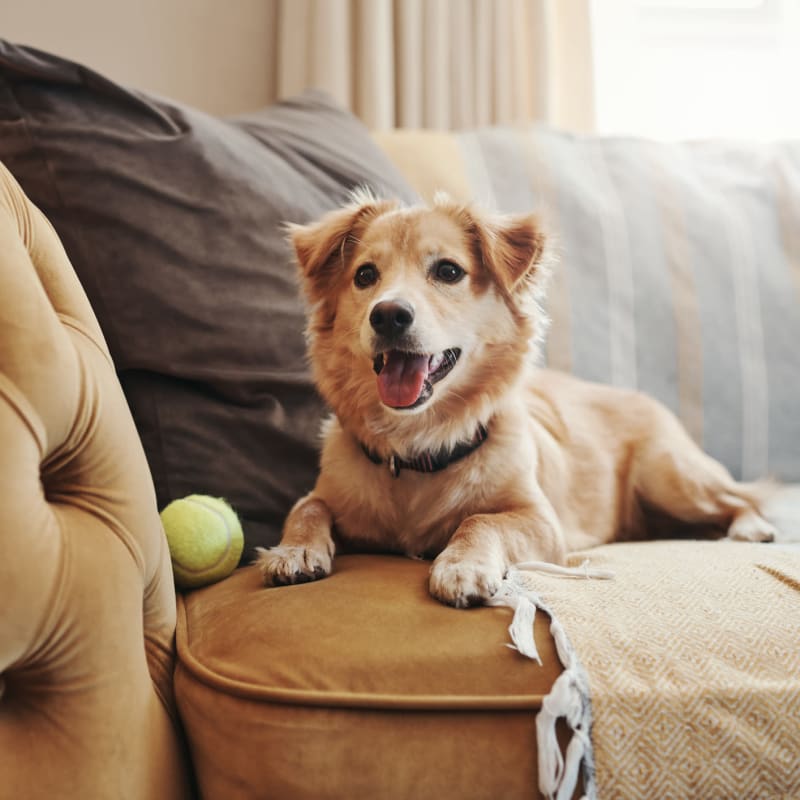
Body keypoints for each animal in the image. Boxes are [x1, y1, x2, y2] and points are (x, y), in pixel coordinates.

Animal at [256, 192, 776, 608]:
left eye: (448, 271)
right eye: (365, 275)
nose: (387, 315)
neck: (420, 446)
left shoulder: (541, 522)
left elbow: (480, 520)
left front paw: (461, 566)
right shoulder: (328, 495)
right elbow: (306, 507)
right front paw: (293, 550)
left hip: (670, 476)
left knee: (738, 497)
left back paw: (750, 527)